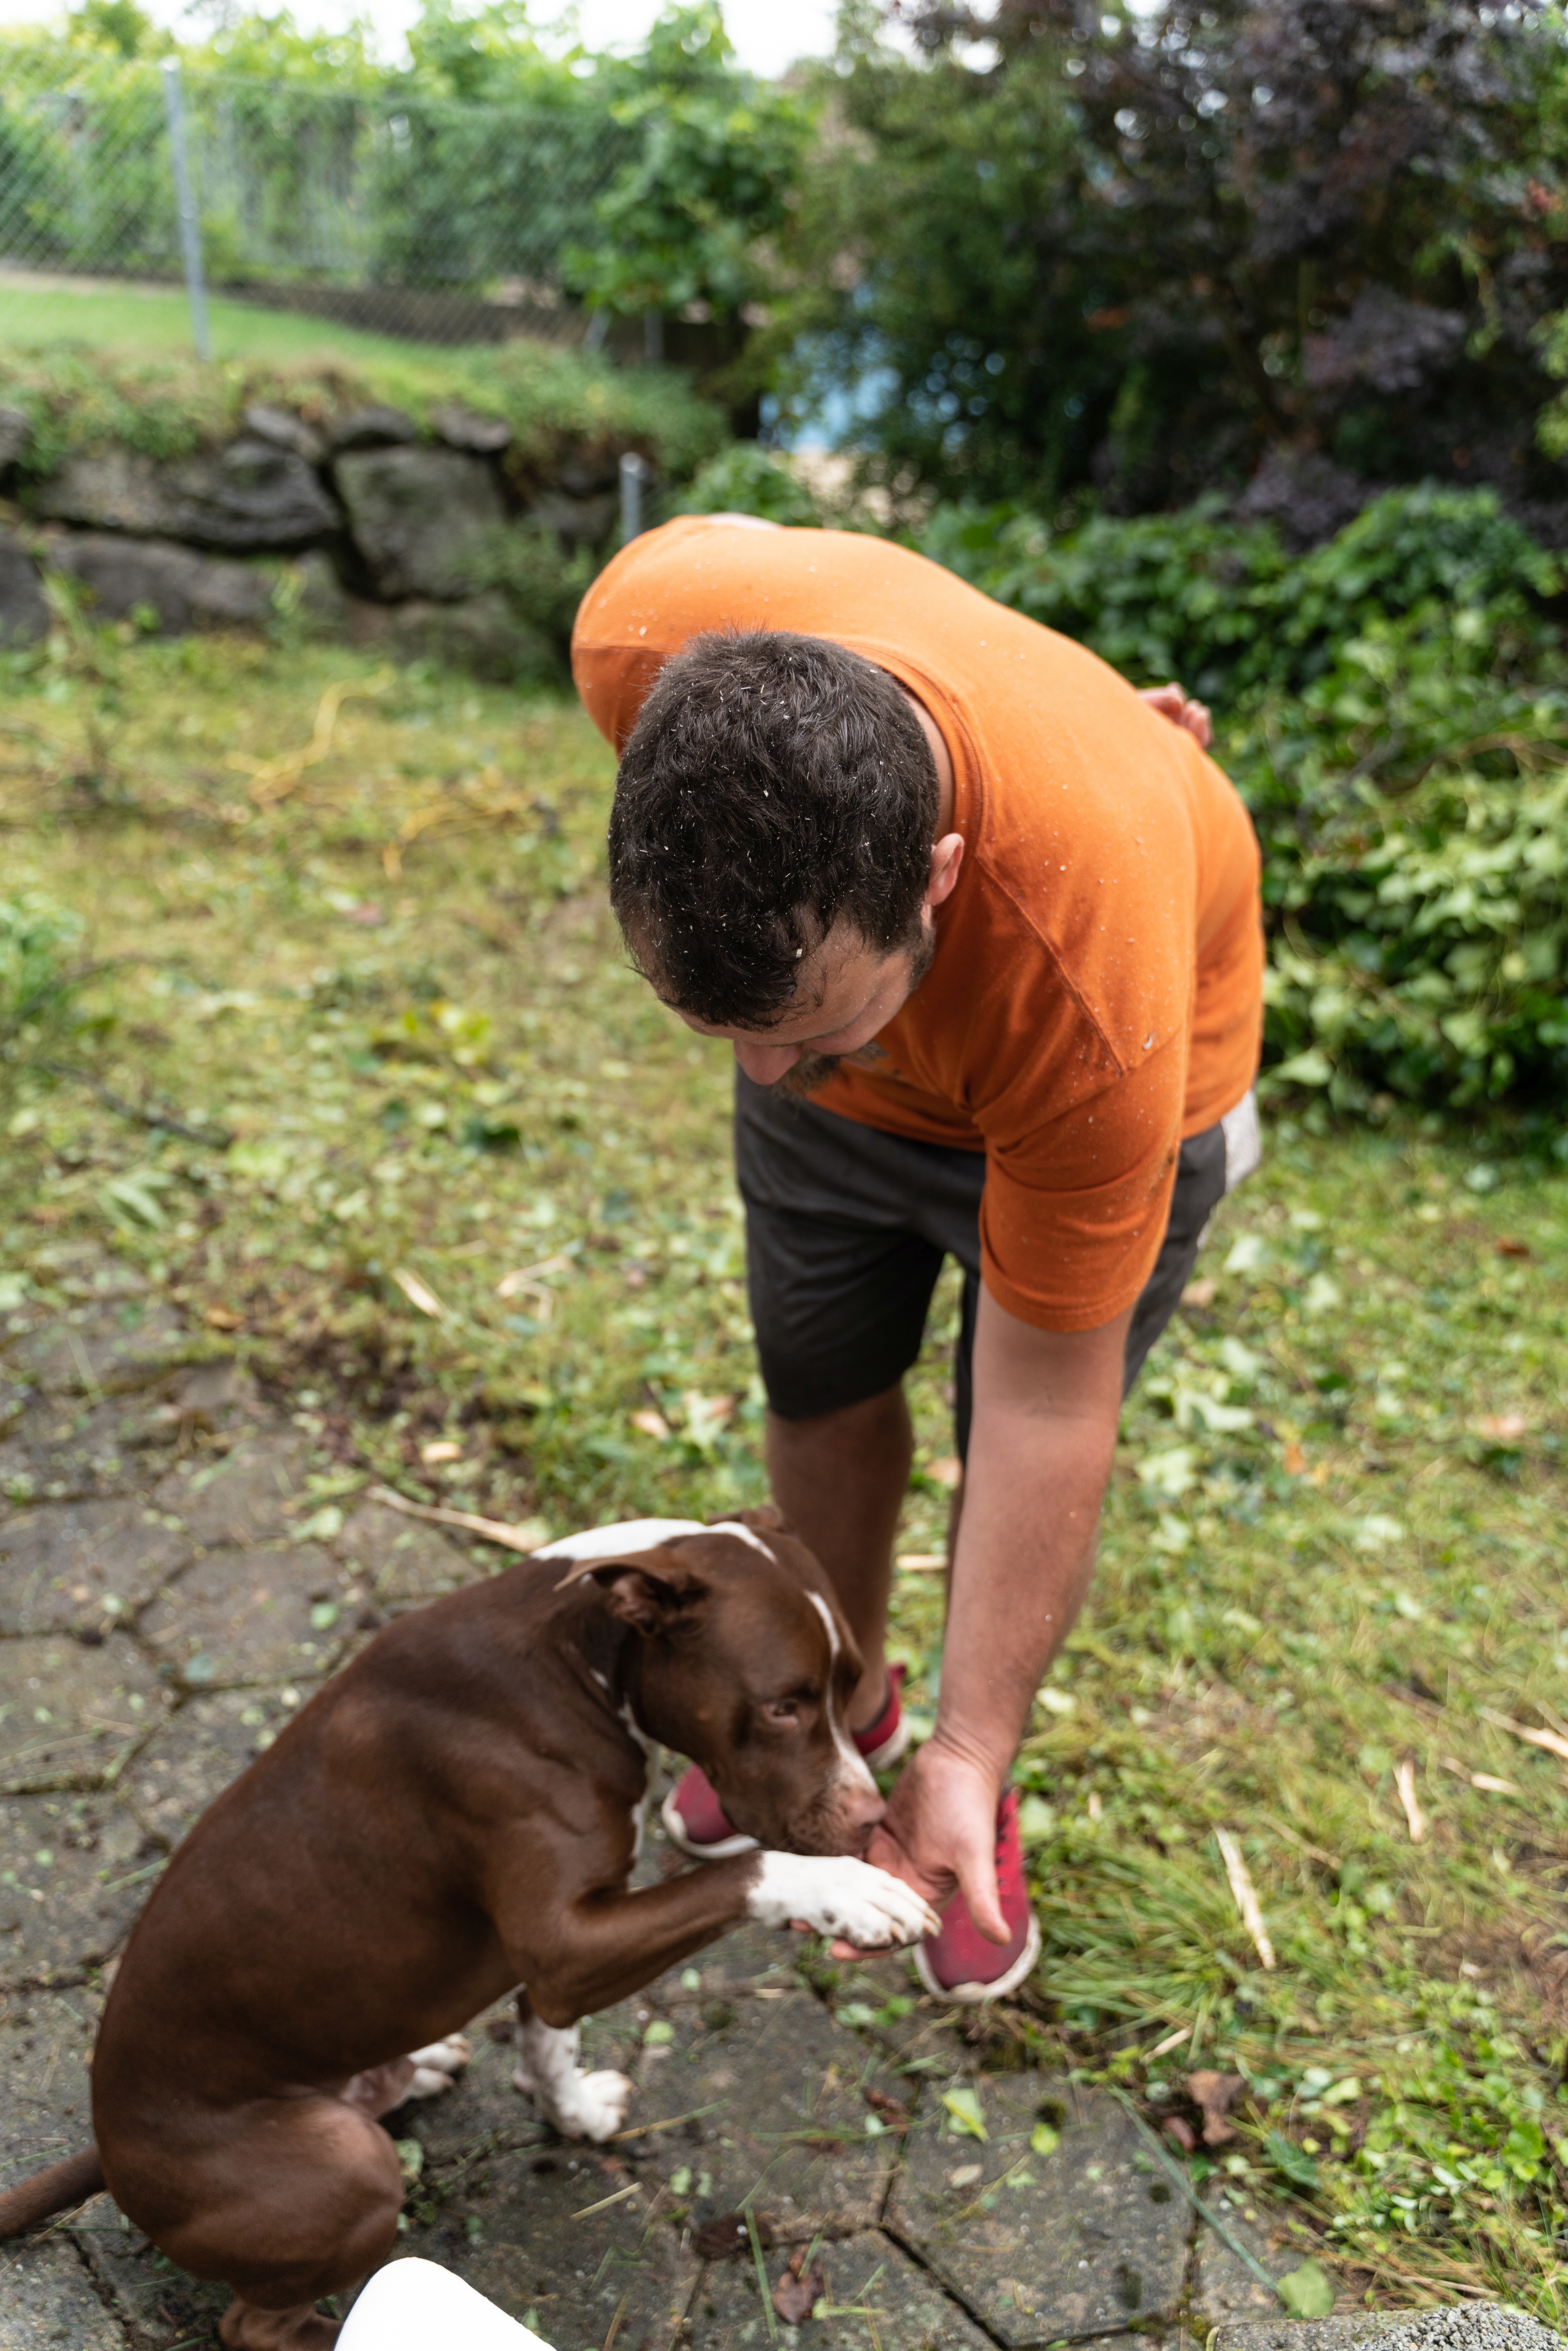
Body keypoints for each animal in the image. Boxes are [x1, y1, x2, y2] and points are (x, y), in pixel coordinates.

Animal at [0, 1514, 931, 2342]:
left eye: (851, 1688)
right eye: (782, 1707)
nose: (872, 1820)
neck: (578, 1663)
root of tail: (110, 2152)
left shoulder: (558, 1950)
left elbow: (548, 2044)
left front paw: (572, 2112)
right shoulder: (564, 1948)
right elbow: (747, 1872)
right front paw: (854, 1890)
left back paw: (418, 2069)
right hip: (347, 2167)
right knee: (253, 2326)